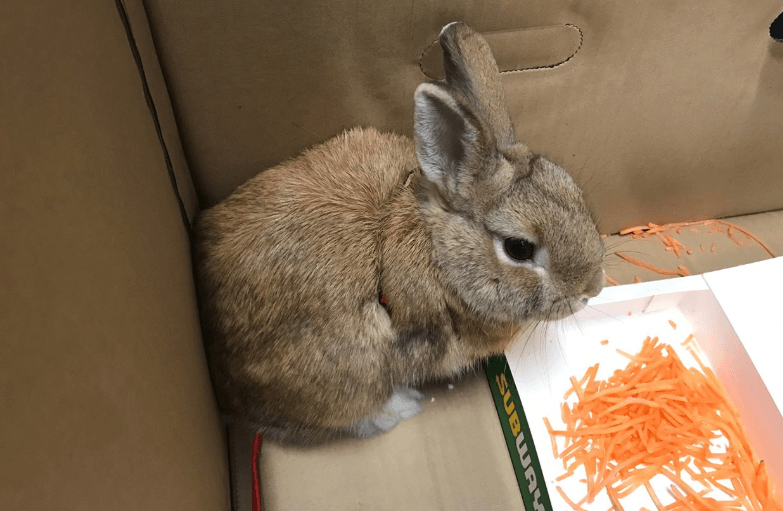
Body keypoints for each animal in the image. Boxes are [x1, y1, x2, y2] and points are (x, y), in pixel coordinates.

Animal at [193, 22, 605, 444]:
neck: (438, 253)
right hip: (342, 372)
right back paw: (399, 407)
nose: (591, 289)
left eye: (572, 191)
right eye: (519, 248)